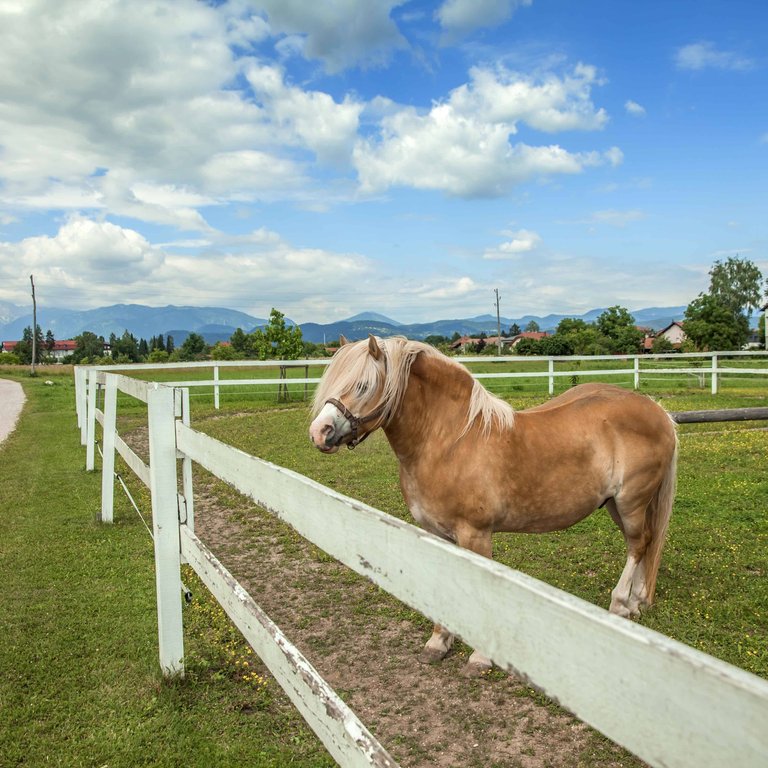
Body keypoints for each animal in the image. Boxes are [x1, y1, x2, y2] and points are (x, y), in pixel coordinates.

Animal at [309, 335, 678, 676]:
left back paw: (619, 605)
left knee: (638, 544)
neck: (450, 442)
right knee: (642, 544)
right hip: (617, 505)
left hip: (631, 502)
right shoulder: (437, 535)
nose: (319, 432)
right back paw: (634, 604)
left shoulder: (476, 535)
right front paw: (438, 642)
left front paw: (480, 657)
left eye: (363, 385)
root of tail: (657, 411)